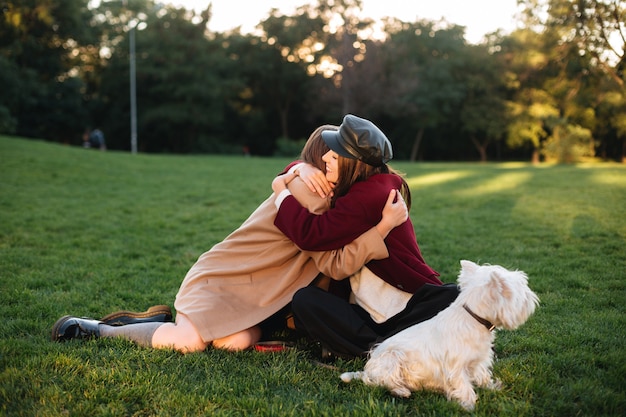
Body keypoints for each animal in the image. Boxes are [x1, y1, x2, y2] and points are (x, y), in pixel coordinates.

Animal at [338, 260, 540, 410]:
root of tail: (366, 369)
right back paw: (402, 390)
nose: (533, 298)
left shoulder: (478, 360)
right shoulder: (456, 366)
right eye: (522, 290)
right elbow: (463, 384)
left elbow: (482, 375)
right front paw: (469, 405)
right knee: (381, 382)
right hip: (391, 359)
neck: (473, 318)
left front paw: (493, 387)